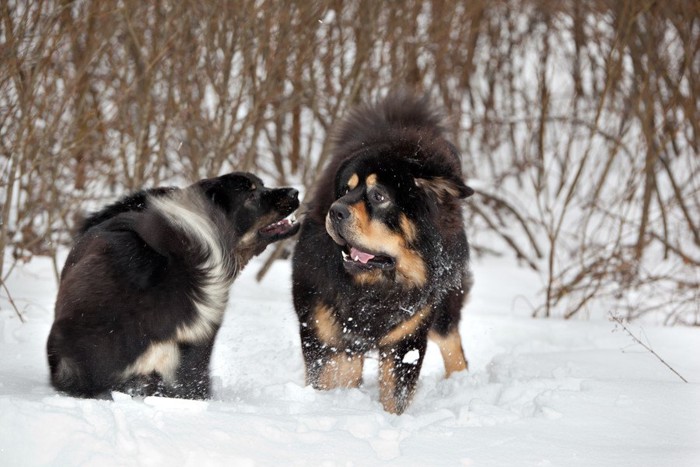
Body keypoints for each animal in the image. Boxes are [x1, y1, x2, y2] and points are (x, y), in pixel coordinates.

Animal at [290, 93, 476, 414]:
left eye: (379, 196)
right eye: (345, 190)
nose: (335, 211)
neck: (374, 287)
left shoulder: (407, 336)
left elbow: (395, 396)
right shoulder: (321, 328)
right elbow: (325, 380)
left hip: (442, 307)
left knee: (452, 342)